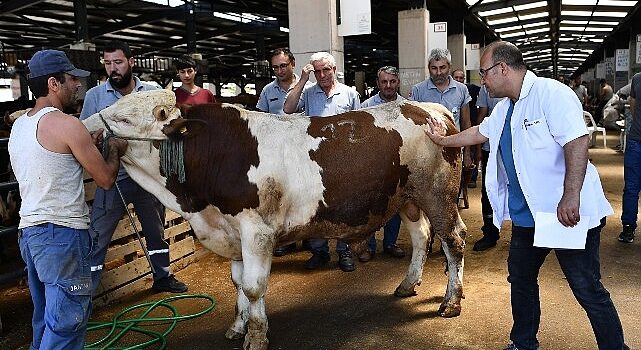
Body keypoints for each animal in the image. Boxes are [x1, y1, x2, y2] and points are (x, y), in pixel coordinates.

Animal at [82, 90, 468, 350]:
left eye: (124, 118)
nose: (81, 126)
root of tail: (428, 108)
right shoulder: (233, 232)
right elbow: (239, 283)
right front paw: (239, 326)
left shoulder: (257, 232)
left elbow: (254, 286)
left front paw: (256, 335)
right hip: (407, 199)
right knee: (421, 237)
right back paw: (408, 284)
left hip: (438, 196)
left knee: (454, 240)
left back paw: (451, 302)